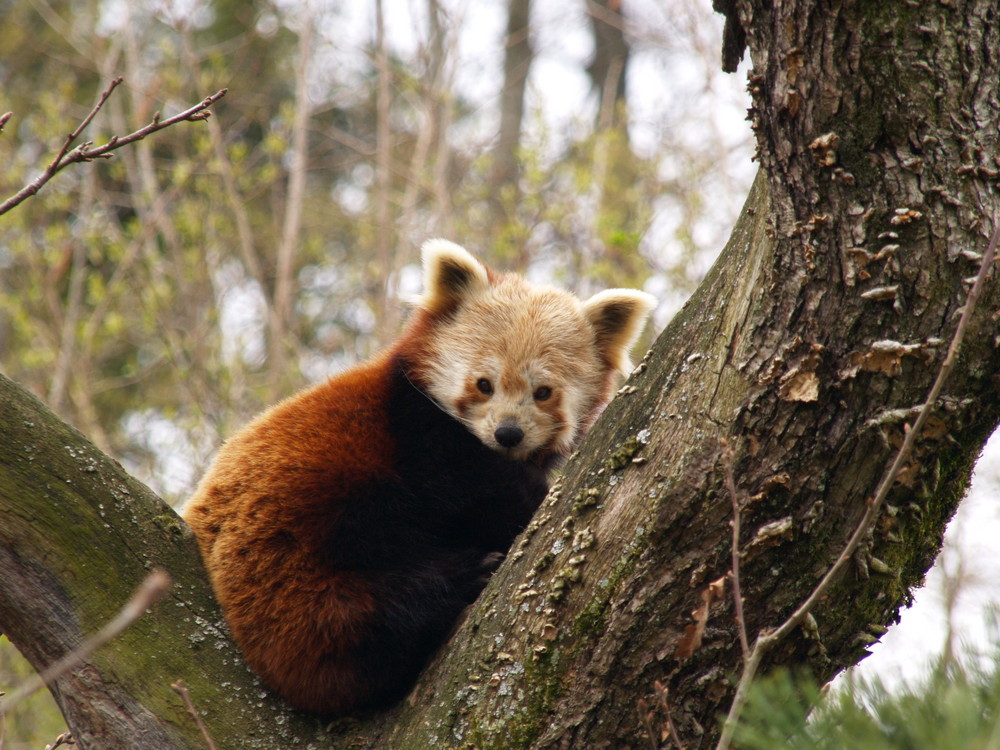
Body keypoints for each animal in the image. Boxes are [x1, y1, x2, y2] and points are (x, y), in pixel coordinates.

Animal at [184, 241, 656, 716]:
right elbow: (488, 498)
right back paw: (457, 580)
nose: (508, 433)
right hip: (297, 550)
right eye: (484, 384)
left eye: (543, 392)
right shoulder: (424, 439)